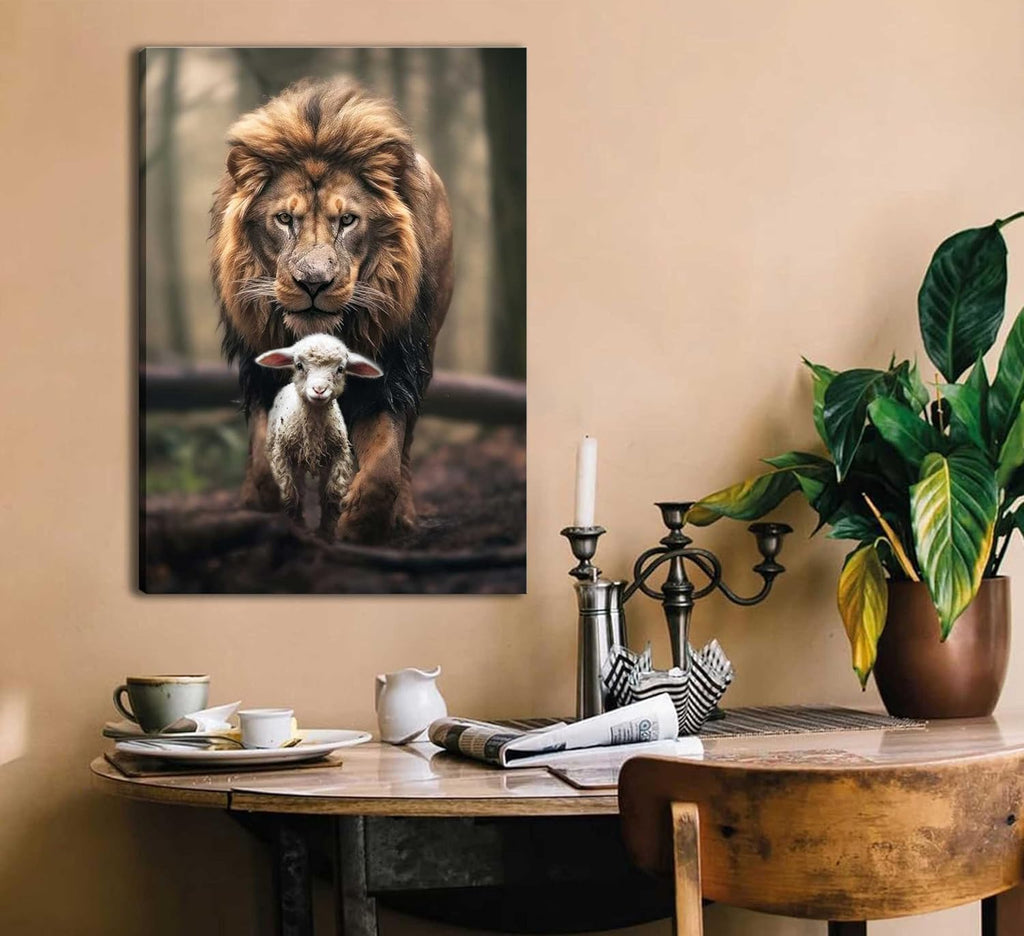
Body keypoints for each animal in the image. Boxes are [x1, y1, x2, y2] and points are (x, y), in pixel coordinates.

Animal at [255, 334, 383, 536]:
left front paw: (326, 533)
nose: (319, 390)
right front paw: (296, 527)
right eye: (299, 365)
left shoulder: (340, 454)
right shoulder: (280, 454)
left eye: (340, 369)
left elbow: (332, 495)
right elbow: (289, 494)